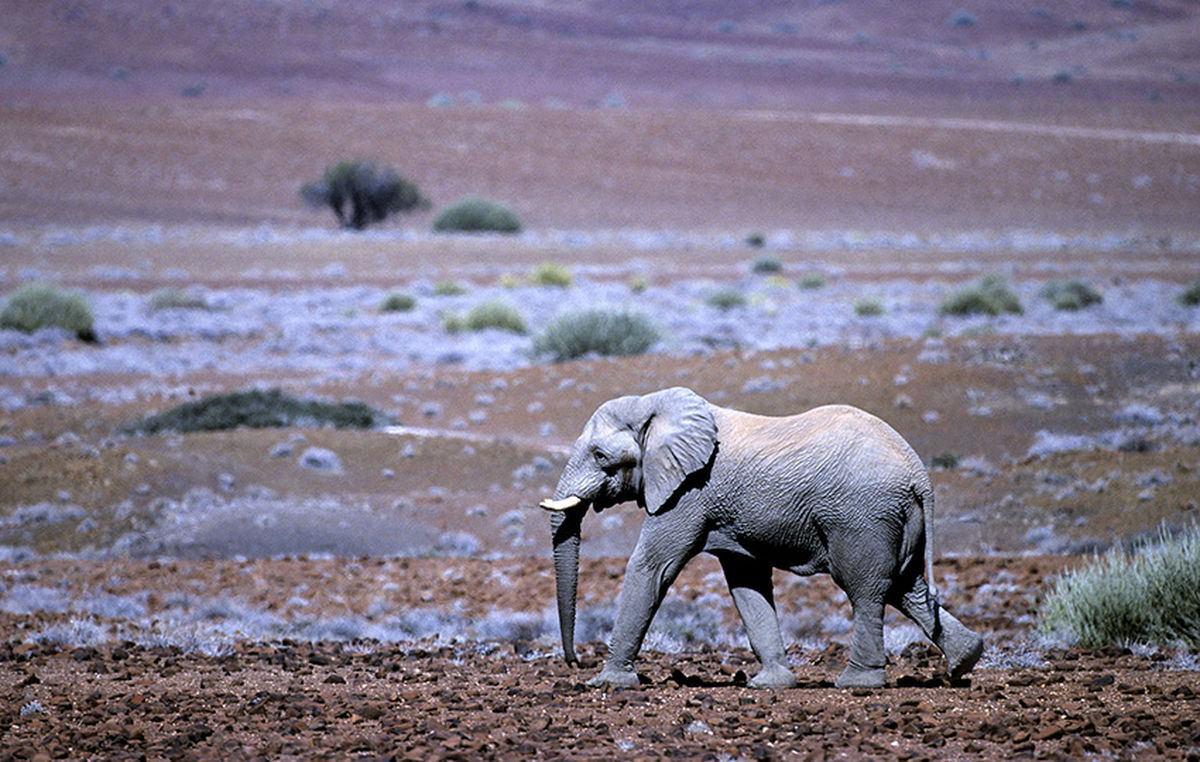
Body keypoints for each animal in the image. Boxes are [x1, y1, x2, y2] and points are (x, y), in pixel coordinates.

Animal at [539, 387, 983, 689]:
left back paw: (857, 683)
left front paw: (607, 683)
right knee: (906, 586)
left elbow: (652, 567)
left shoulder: (689, 492)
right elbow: (746, 583)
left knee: (866, 589)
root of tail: (919, 474)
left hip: (862, 516)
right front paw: (770, 684)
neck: (655, 404)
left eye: (600, 455)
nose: (575, 663)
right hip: (893, 519)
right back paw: (964, 662)